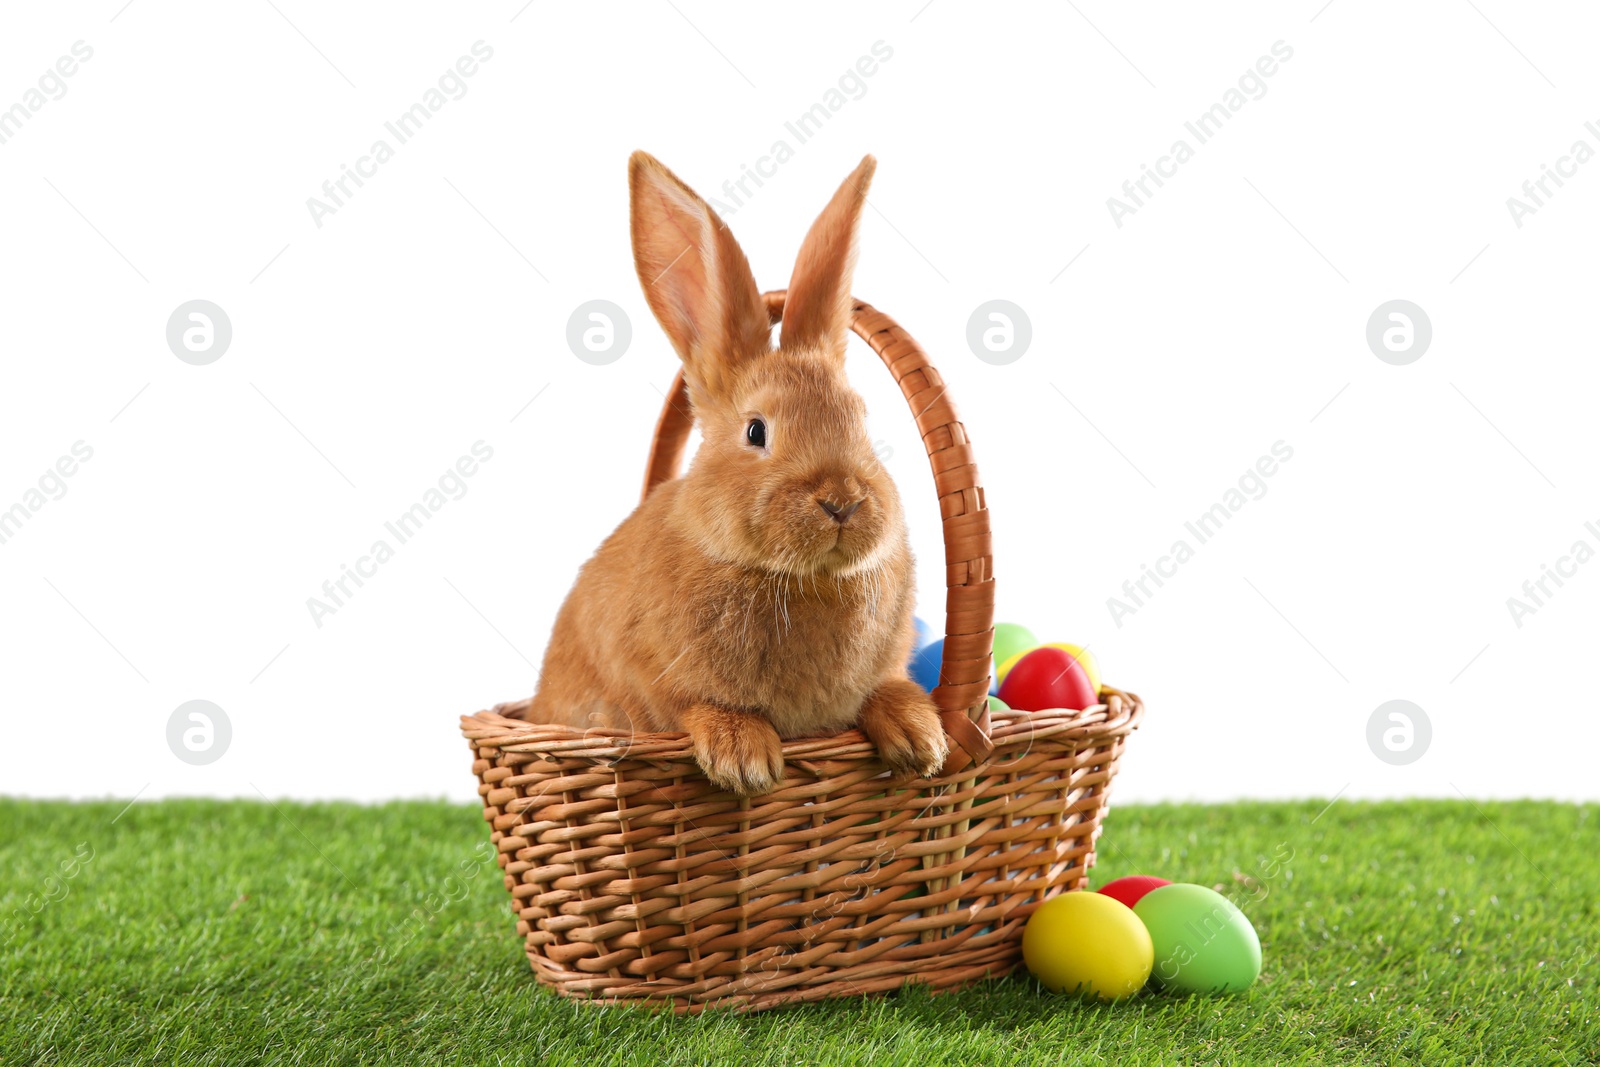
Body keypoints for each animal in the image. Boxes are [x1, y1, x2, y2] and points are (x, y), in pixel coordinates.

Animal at [524, 154, 947, 796]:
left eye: (862, 419)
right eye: (756, 432)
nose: (842, 501)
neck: (798, 578)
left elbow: (886, 689)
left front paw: (920, 739)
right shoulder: (650, 681)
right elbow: (693, 706)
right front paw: (743, 759)